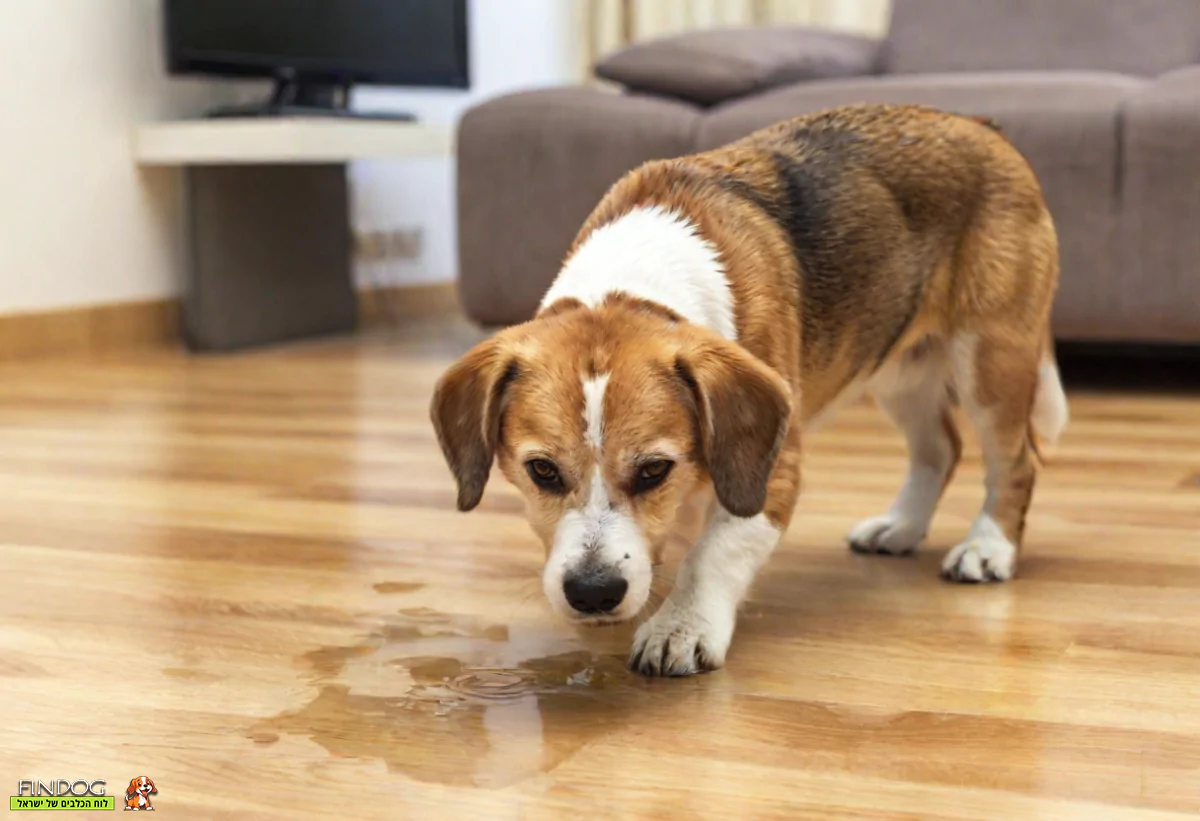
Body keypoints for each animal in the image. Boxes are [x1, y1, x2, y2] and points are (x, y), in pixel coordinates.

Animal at [432, 102, 1070, 676]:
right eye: (541, 471)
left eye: (654, 470)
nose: (593, 592)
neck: (634, 281)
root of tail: (983, 126)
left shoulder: (771, 471)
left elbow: (714, 550)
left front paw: (682, 626)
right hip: (897, 366)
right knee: (940, 449)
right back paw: (902, 527)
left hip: (990, 362)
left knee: (1015, 461)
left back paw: (988, 548)